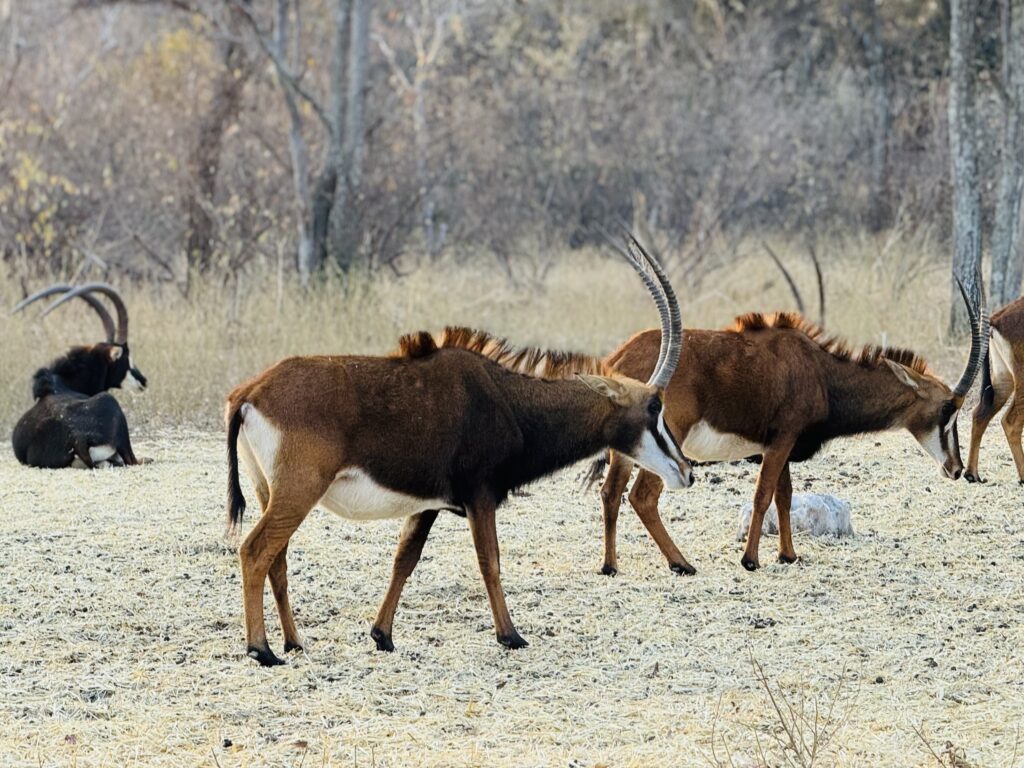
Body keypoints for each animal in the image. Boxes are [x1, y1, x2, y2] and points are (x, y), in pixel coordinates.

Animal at [11, 283, 146, 468]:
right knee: (131, 461)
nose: (143, 381)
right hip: (112, 410)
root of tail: (77, 438)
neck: (60, 383)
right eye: (126, 359)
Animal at [224, 238, 692, 666]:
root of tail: (249, 392)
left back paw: (293, 642)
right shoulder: (479, 496)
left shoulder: (429, 504)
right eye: (655, 406)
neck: (509, 401)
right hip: (298, 492)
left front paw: (382, 635)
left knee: (277, 559)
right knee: (255, 550)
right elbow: (490, 561)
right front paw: (510, 635)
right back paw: (262, 649)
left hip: (271, 492)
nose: (686, 470)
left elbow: (405, 559)